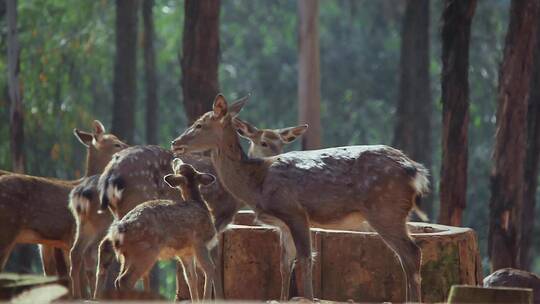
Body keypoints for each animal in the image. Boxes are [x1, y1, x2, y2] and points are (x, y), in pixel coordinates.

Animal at [171, 94, 428, 302]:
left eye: (199, 124)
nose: (175, 142)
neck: (256, 183)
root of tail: (415, 171)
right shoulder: (282, 224)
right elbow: (285, 264)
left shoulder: (294, 211)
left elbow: (306, 259)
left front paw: (310, 298)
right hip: (394, 212)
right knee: (405, 257)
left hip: (385, 209)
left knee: (411, 253)